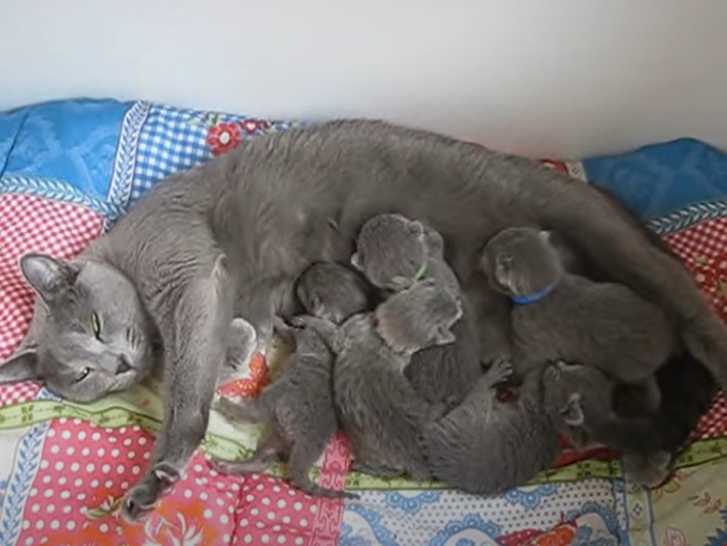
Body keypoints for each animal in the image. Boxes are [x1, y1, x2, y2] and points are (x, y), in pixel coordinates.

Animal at [480, 226, 677, 410]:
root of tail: (667, 346)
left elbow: (524, 363)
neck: (546, 288)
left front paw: (506, 374)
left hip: (627, 370)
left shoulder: (530, 343)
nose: (481, 251)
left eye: (490, 250)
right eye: (507, 232)